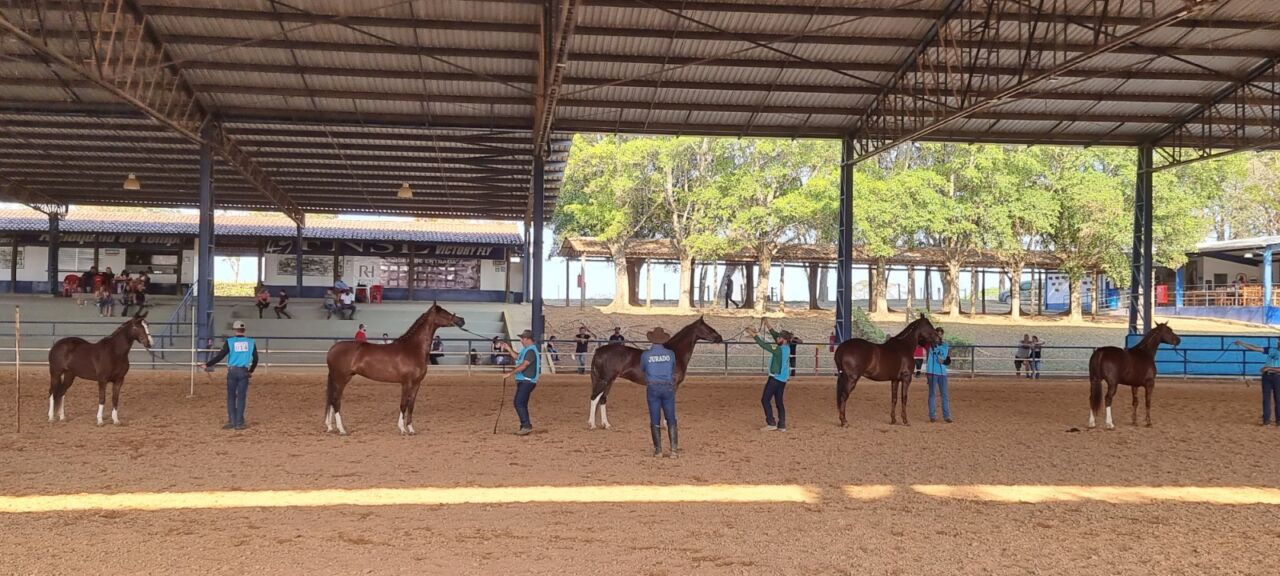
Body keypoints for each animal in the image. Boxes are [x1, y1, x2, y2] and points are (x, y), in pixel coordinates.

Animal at [325, 303, 465, 435]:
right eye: (443, 312)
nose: (461, 320)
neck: (413, 348)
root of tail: (332, 349)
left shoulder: (417, 384)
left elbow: (411, 405)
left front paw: (411, 429)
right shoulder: (406, 383)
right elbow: (403, 404)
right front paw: (402, 429)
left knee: (331, 400)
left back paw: (330, 427)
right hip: (341, 379)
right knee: (336, 401)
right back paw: (341, 429)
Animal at [586, 317, 727, 430]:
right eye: (708, 328)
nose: (720, 337)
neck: (675, 352)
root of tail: (598, 351)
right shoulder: (672, 385)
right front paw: (668, 424)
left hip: (609, 381)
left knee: (602, 399)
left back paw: (606, 424)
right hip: (604, 380)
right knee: (594, 398)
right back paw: (592, 425)